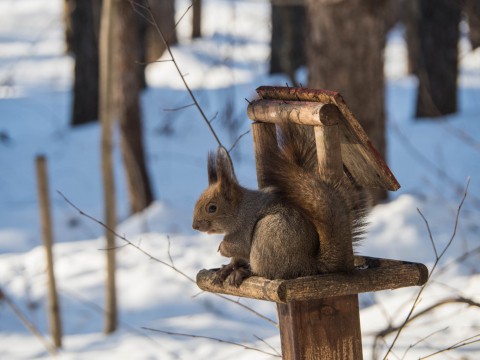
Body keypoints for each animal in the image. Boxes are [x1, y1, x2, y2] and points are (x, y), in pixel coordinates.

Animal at [191, 122, 368, 286]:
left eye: (212, 208)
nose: (195, 226)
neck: (239, 209)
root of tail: (307, 266)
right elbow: (236, 259)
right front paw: (225, 269)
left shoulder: (243, 227)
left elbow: (238, 247)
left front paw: (222, 248)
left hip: (268, 236)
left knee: (265, 272)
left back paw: (244, 273)